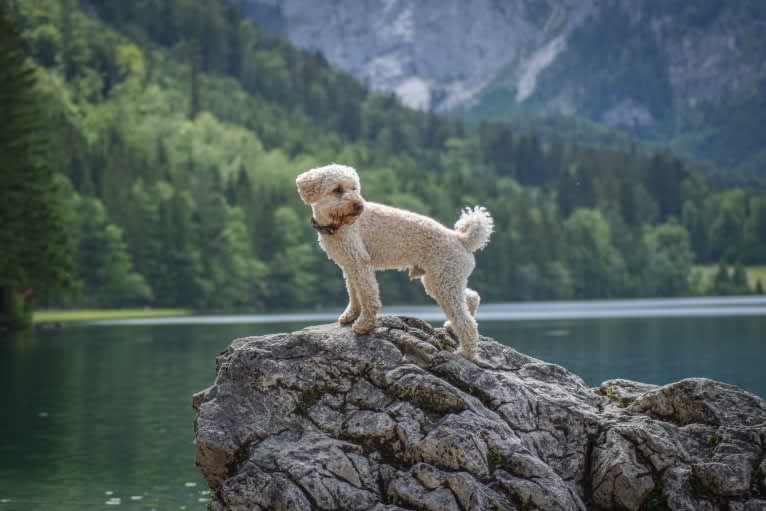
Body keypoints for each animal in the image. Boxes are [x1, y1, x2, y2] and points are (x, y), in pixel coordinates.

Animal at [296, 164, 496, 360]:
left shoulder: (359, 262)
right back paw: (452, 326)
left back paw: (466, 353)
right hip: (445, 280)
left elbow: (367, 295)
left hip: (443, 282)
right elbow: (354, 294)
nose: (359, 205)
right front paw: (350, 315)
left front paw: (364, 324)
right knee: (472, 297)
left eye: (354, 188)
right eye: (337, 189)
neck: (337, 226)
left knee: (467, 322)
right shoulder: (348, 265)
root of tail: (461, 239)